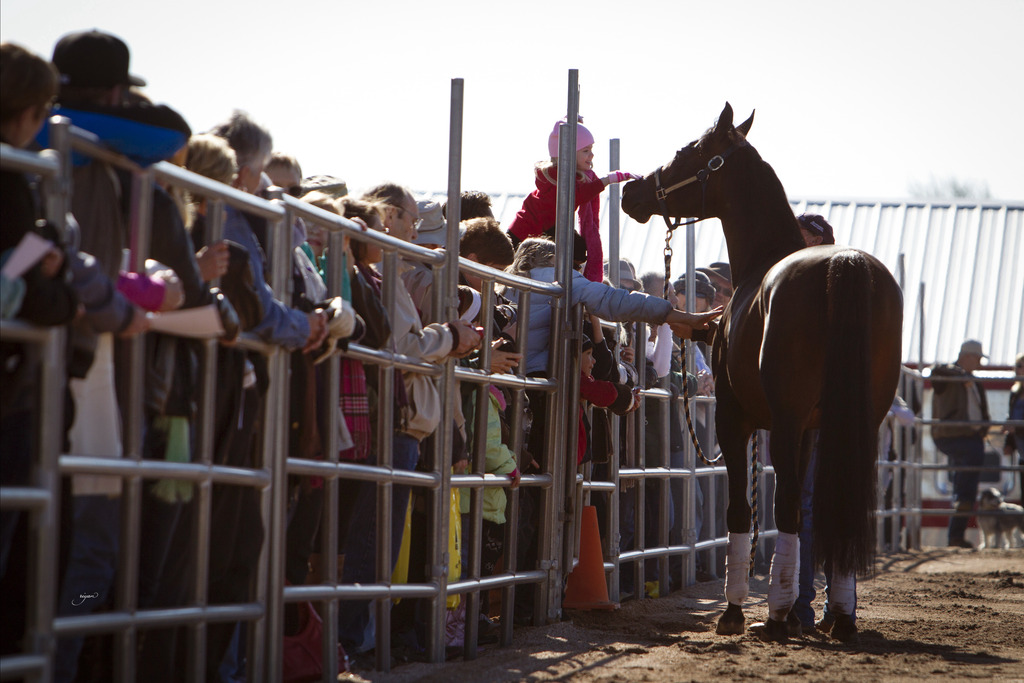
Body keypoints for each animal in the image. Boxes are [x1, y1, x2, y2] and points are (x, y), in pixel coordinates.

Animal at [621, 103, 903, 642]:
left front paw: (734, 611)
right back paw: (837, 615)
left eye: (687, 151)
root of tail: (844, 265)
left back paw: (773, 616)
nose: (632, 192)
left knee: (787, 504)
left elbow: (742, 509)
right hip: (856, 422)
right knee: (834, 506)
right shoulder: (813, 429)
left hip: (786, 421)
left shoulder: (737, 420)